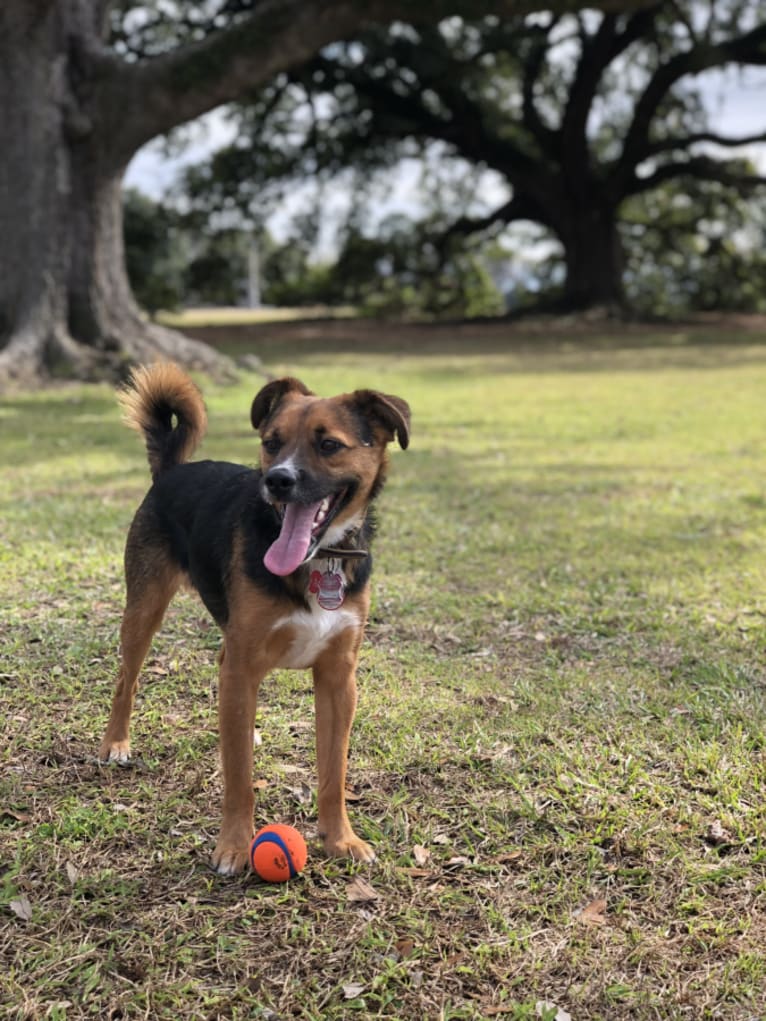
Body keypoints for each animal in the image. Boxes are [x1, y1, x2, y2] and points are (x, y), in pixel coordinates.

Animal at [102, 363, 414, 873]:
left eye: (329, 445)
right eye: (271, 441)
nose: (277, 480)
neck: (318, 559)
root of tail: (172, 470)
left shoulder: (338, 679)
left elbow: (333, 772)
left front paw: (340, 838)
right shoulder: (243, 668)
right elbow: (240, 777)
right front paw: (233, 844)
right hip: (144, 612)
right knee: (125, 682)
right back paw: (115, 744)